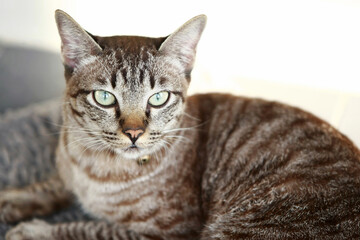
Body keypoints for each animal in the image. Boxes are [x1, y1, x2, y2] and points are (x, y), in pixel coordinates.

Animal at [0, 8, 360, 238]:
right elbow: (51, 185)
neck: (93, 166)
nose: (134, 133)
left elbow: (90, 229)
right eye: (104, 97)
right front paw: (13, 200)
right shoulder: (68, 171)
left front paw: (33, 231)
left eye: (159, 98)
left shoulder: (171, 233)